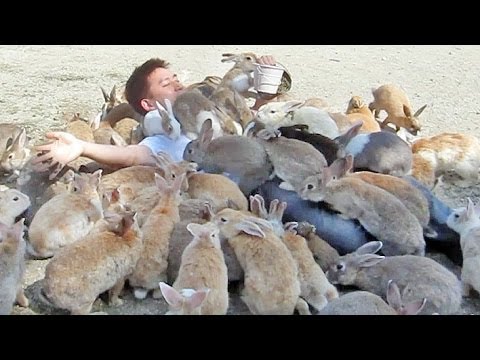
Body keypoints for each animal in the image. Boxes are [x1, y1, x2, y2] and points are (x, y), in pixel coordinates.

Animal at [298, 156, 426, 258]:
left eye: (310, 186)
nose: (299, 194)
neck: (330, 188)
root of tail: (419, 245)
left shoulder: (350, 206)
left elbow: (351, 214)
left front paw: (340, 215)